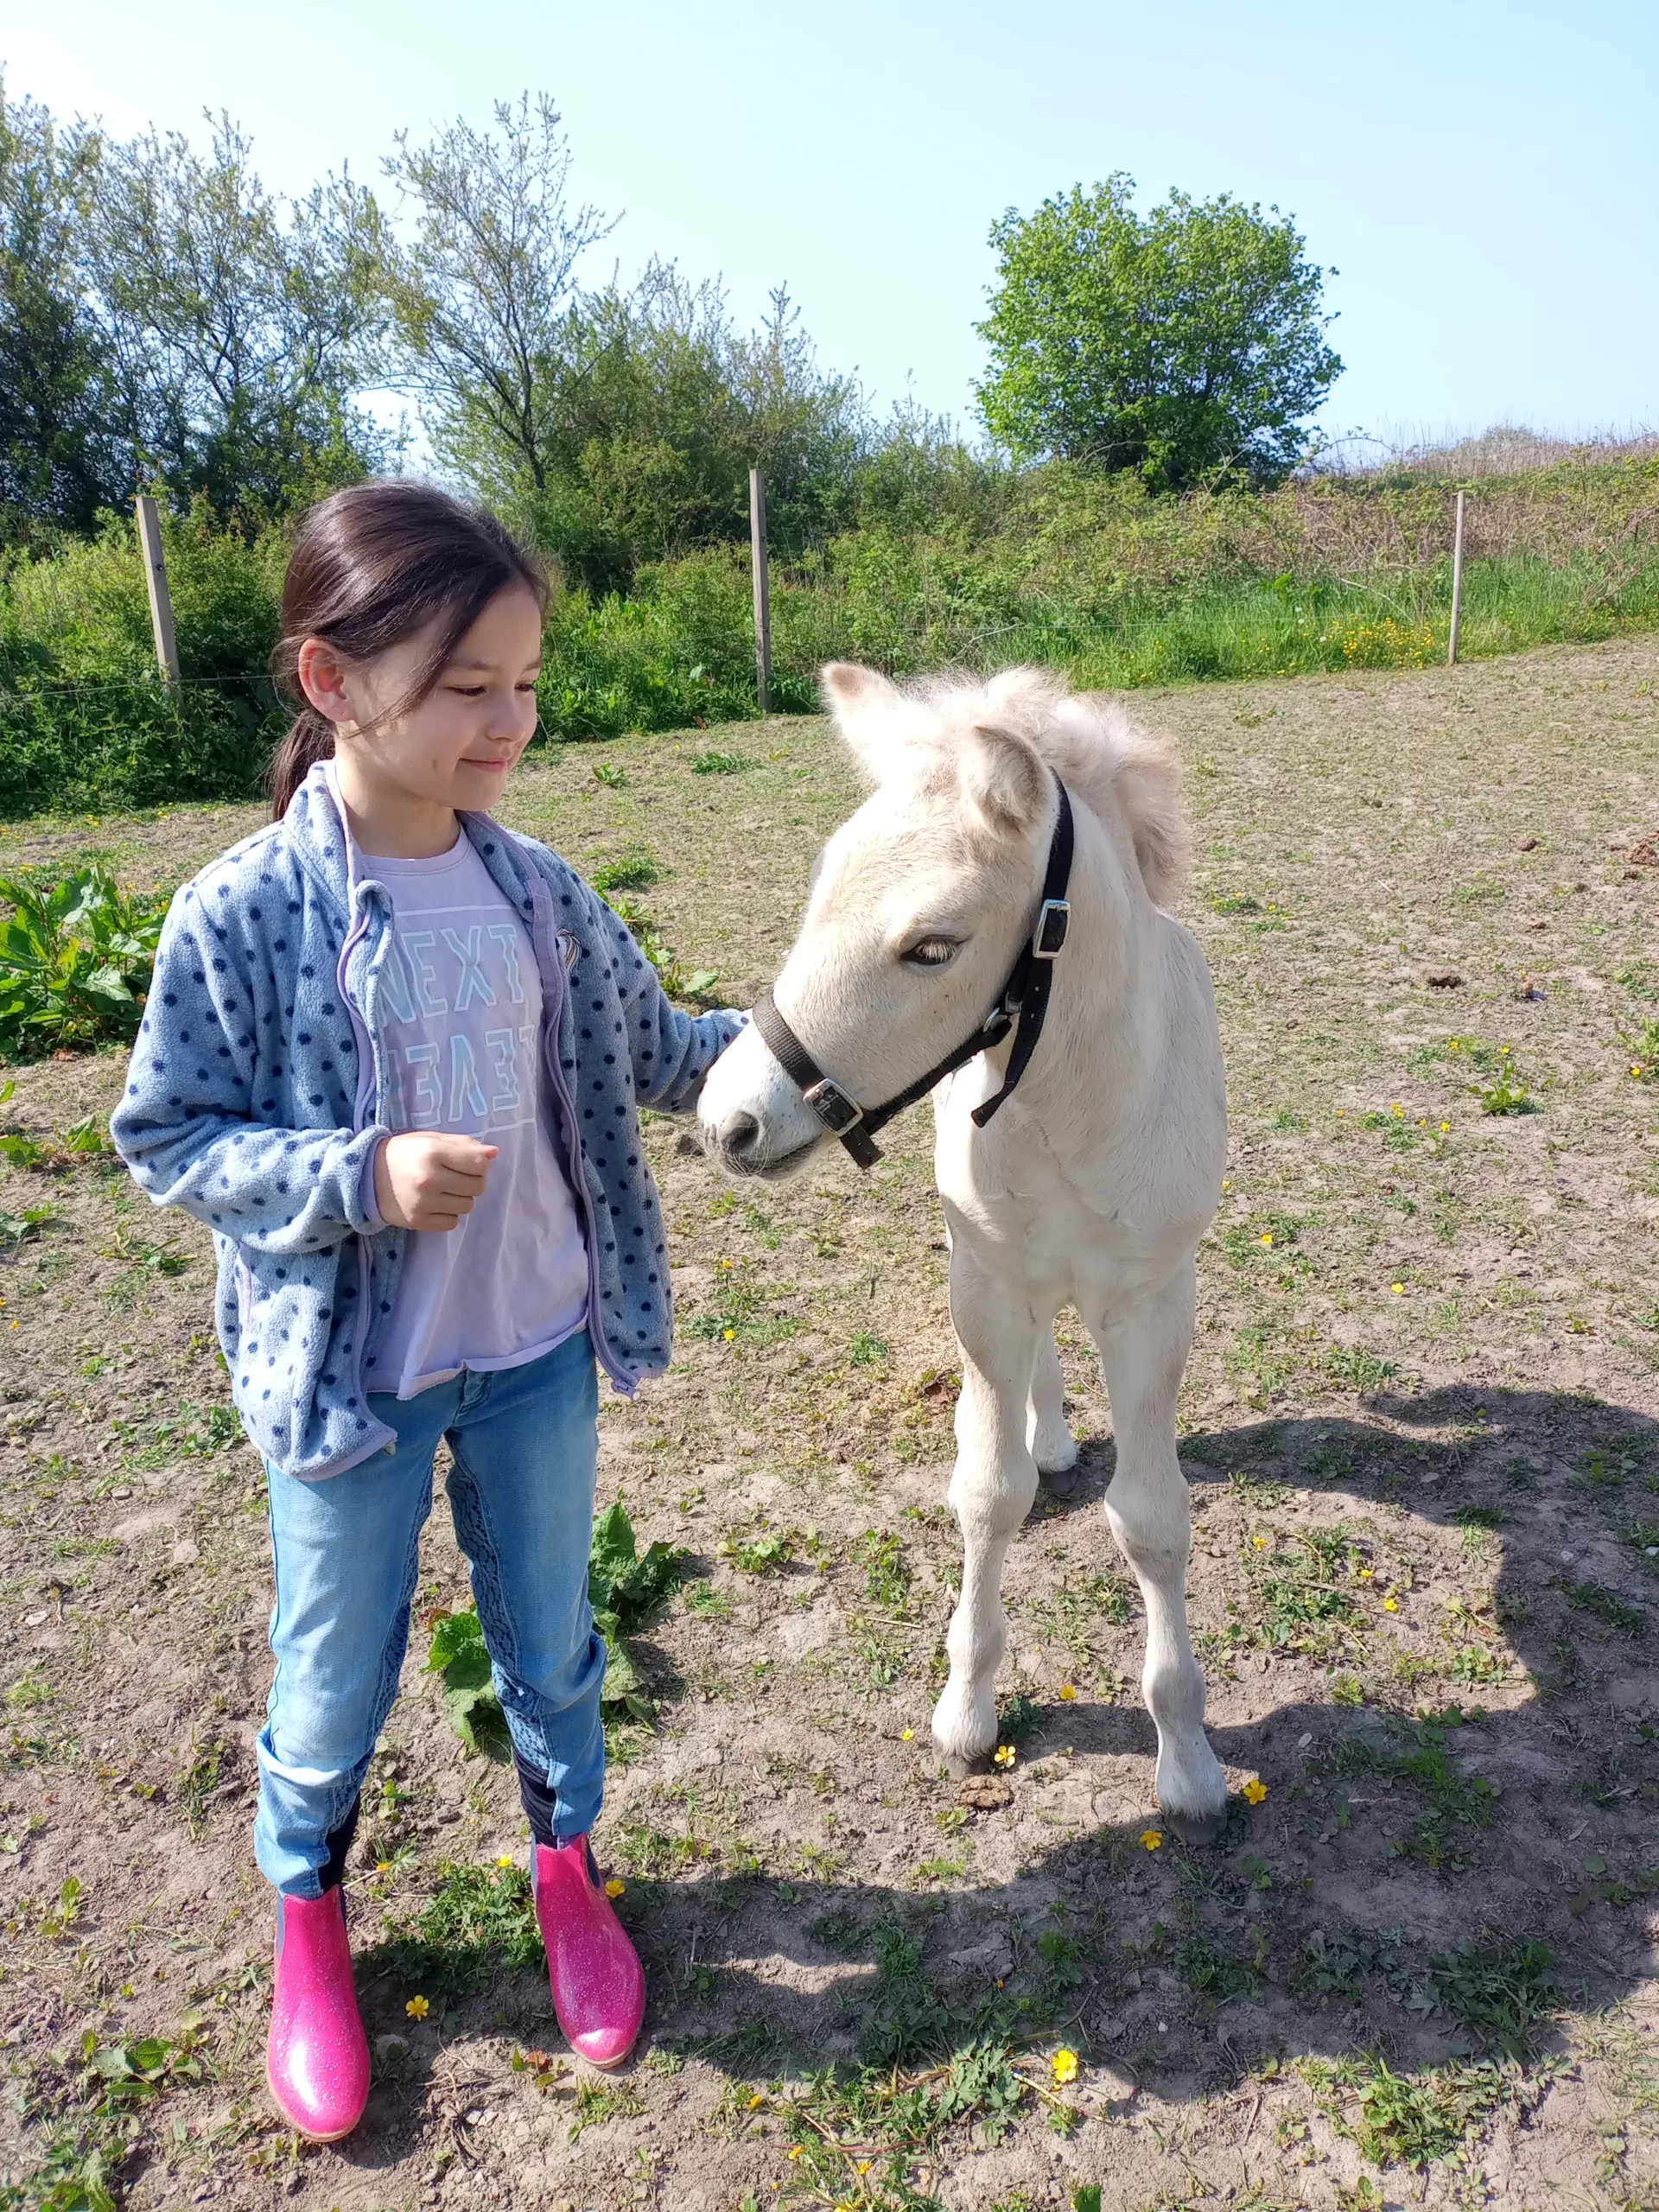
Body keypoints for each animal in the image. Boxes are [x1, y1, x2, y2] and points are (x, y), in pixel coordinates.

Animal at [703, 664, 1238, 1840]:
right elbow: (988, 1494)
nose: (729, 1122)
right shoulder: (984, 1285)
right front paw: (967, 1709)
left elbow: (1154, 1523)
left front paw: (1187, 1762)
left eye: (932, 947)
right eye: (819, 889)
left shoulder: (1153, 1303)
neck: (1066, 1103)